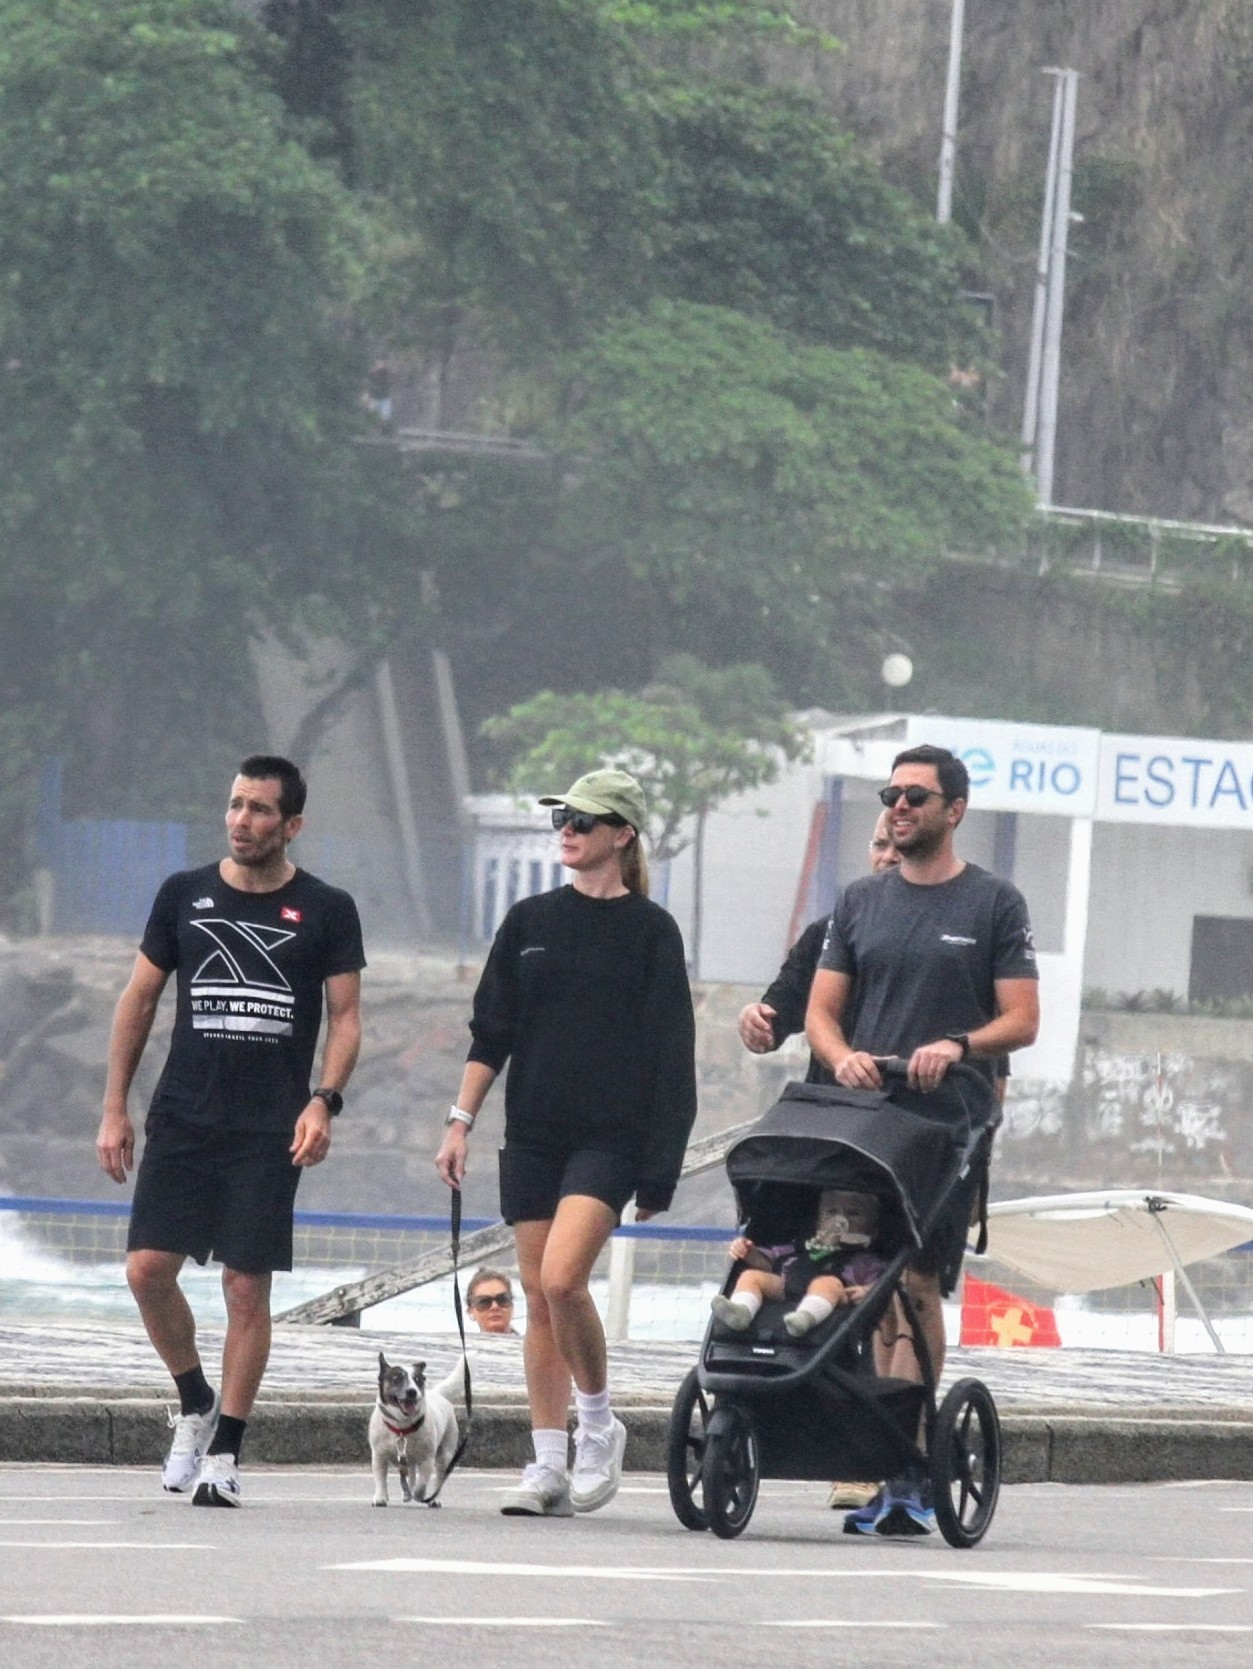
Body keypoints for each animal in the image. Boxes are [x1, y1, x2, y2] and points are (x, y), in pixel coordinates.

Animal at [375, 1348, 467, 1508]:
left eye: (418, 1379)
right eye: (396, 1378)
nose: (412, 1391)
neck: (402, 1427)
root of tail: (436, 1393)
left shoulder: (427, 1459)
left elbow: (422, 1483)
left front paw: (419, 1494)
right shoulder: (379, 1456)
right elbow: (381, 1478)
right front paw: (380, 1497)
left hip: (445, 1453)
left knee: (438, 1477)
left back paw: (433, 1499)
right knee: (411, 1473)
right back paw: (407, 1493)